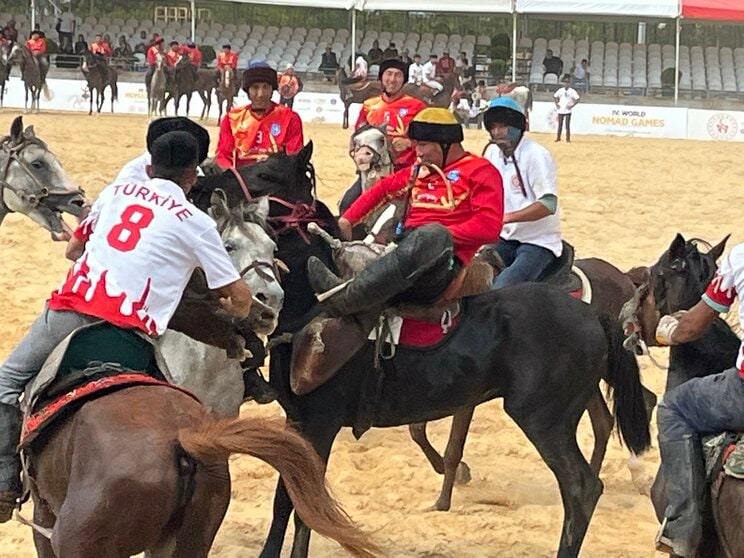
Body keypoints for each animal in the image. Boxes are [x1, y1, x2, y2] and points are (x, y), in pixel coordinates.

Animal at [192, 145, 652, 558]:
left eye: (266, 172)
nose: (202, 183)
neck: (312, 309)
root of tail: (593, 314)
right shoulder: (299, 422)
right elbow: (291, 499)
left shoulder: (320, 422)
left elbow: (302, 504)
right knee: (603, 432)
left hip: (544, 420)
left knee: (581, 488)